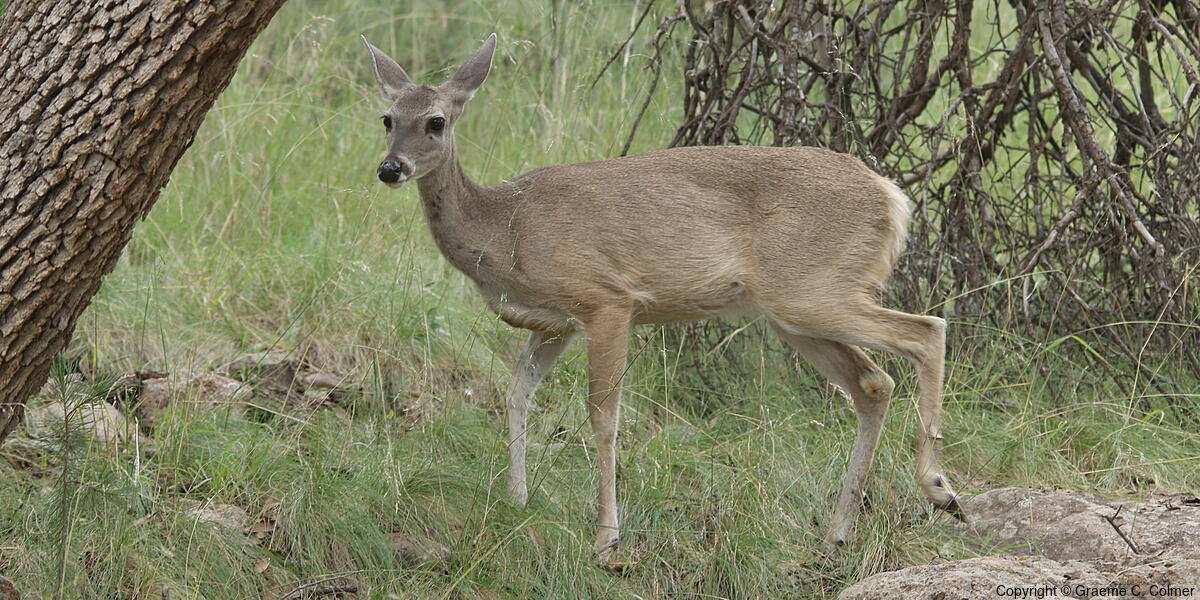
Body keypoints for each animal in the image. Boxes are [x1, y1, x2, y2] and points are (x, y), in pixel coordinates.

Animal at [361, 33, 965, 558]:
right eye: (388, 119)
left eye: (436, 121)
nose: (390, 167)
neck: (504, 229)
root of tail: (894, 199)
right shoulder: (553, 323)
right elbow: (517, 393)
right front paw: (517, 499)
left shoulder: (606, 299)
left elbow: (603, 417)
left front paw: (606, 539)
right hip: (794, 312)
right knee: (873, 382)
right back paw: (839, 531)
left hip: (811, 288)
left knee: (925, 331)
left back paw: (939, 488)